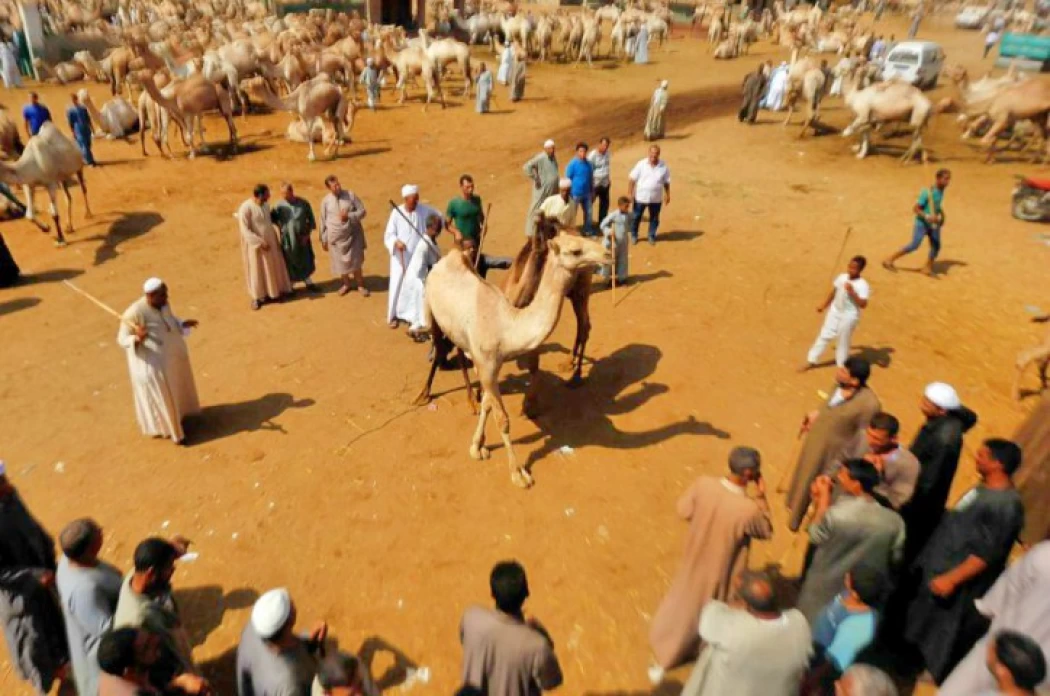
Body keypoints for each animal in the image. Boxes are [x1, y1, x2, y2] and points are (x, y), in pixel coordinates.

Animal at [422, 230, 613, 487]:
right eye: (575, 251)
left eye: (584, 237)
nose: (607, 253)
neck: (508, 326)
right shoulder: (487, 364)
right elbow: (502, 419)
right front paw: (518, 473)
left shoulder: (493, 366)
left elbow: (488, 405)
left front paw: (477, 446)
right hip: (430, 307)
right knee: (438, 344)